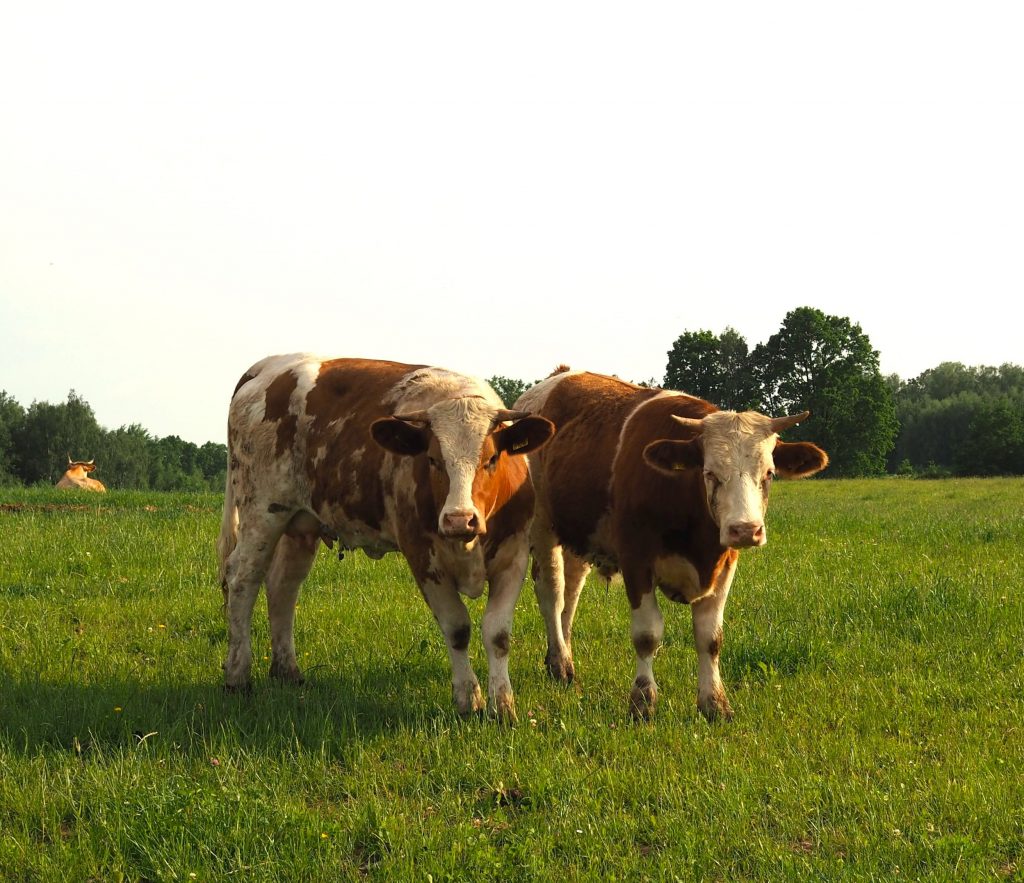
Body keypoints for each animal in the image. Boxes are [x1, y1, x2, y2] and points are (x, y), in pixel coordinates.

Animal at [214, 356, 552, 721]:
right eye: (433, 459)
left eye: (491, 459)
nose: (459, 519)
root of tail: (271, 365)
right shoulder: (423, 557)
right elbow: (457, 628)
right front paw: (467, 699)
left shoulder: (514, 556)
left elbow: (498, 634)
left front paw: (502, 706)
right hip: (261, 511)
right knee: (243, 578)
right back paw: (237, 676)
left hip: (301, 524)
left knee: (283, 586)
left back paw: (287, 672)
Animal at [516, 370, 827, 721]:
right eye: (709, 473)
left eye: (769, 473)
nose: (745, 530)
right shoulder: (636, 559)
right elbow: (647, 635)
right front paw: (642, 701)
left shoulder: (725, 564)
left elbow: (710, 637)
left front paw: (714, 703)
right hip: (542, 525)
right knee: (552, 593)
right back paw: (560, 664)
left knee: (571, 592)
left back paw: (565, 657)